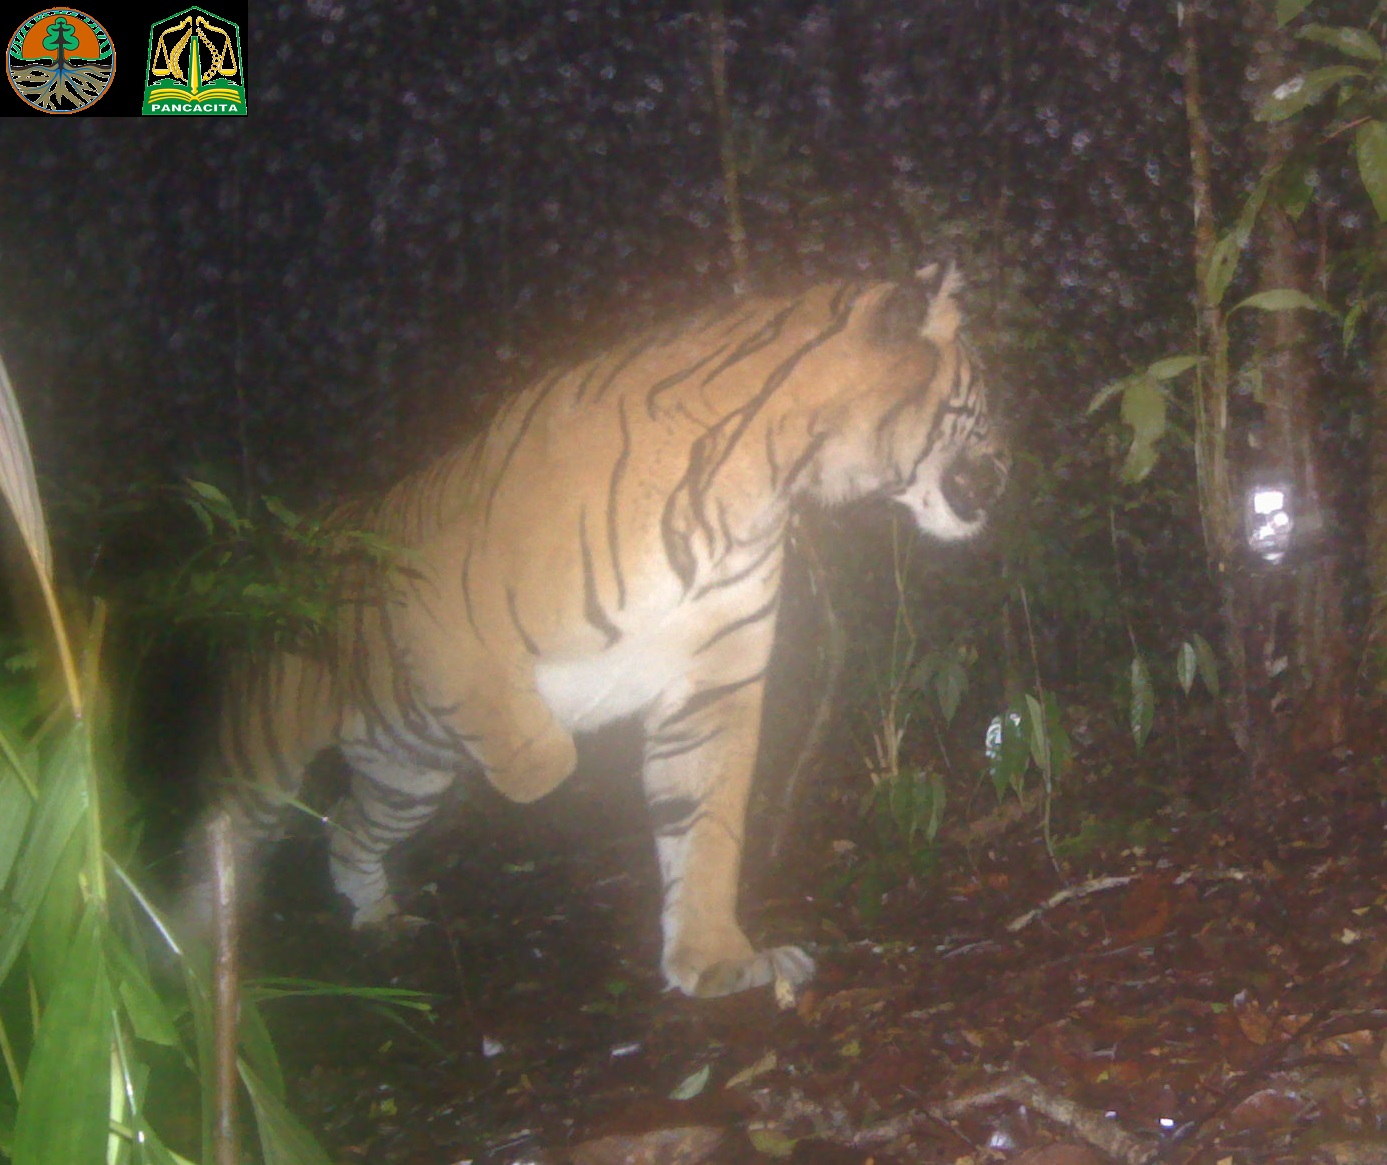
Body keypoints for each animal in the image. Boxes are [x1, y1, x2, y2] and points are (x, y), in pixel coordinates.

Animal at [182, 266, 1008, 999]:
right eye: (981, 396)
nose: (1007, 470)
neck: (766, 484)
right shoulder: (440, 608)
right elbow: (544, 757)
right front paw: (575, 732)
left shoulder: (712, 683)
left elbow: (705, 830)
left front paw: (716, 963)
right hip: (265, 763)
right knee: (213, 850)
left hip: (406, 773)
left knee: (348, 825)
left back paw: (377, 922)